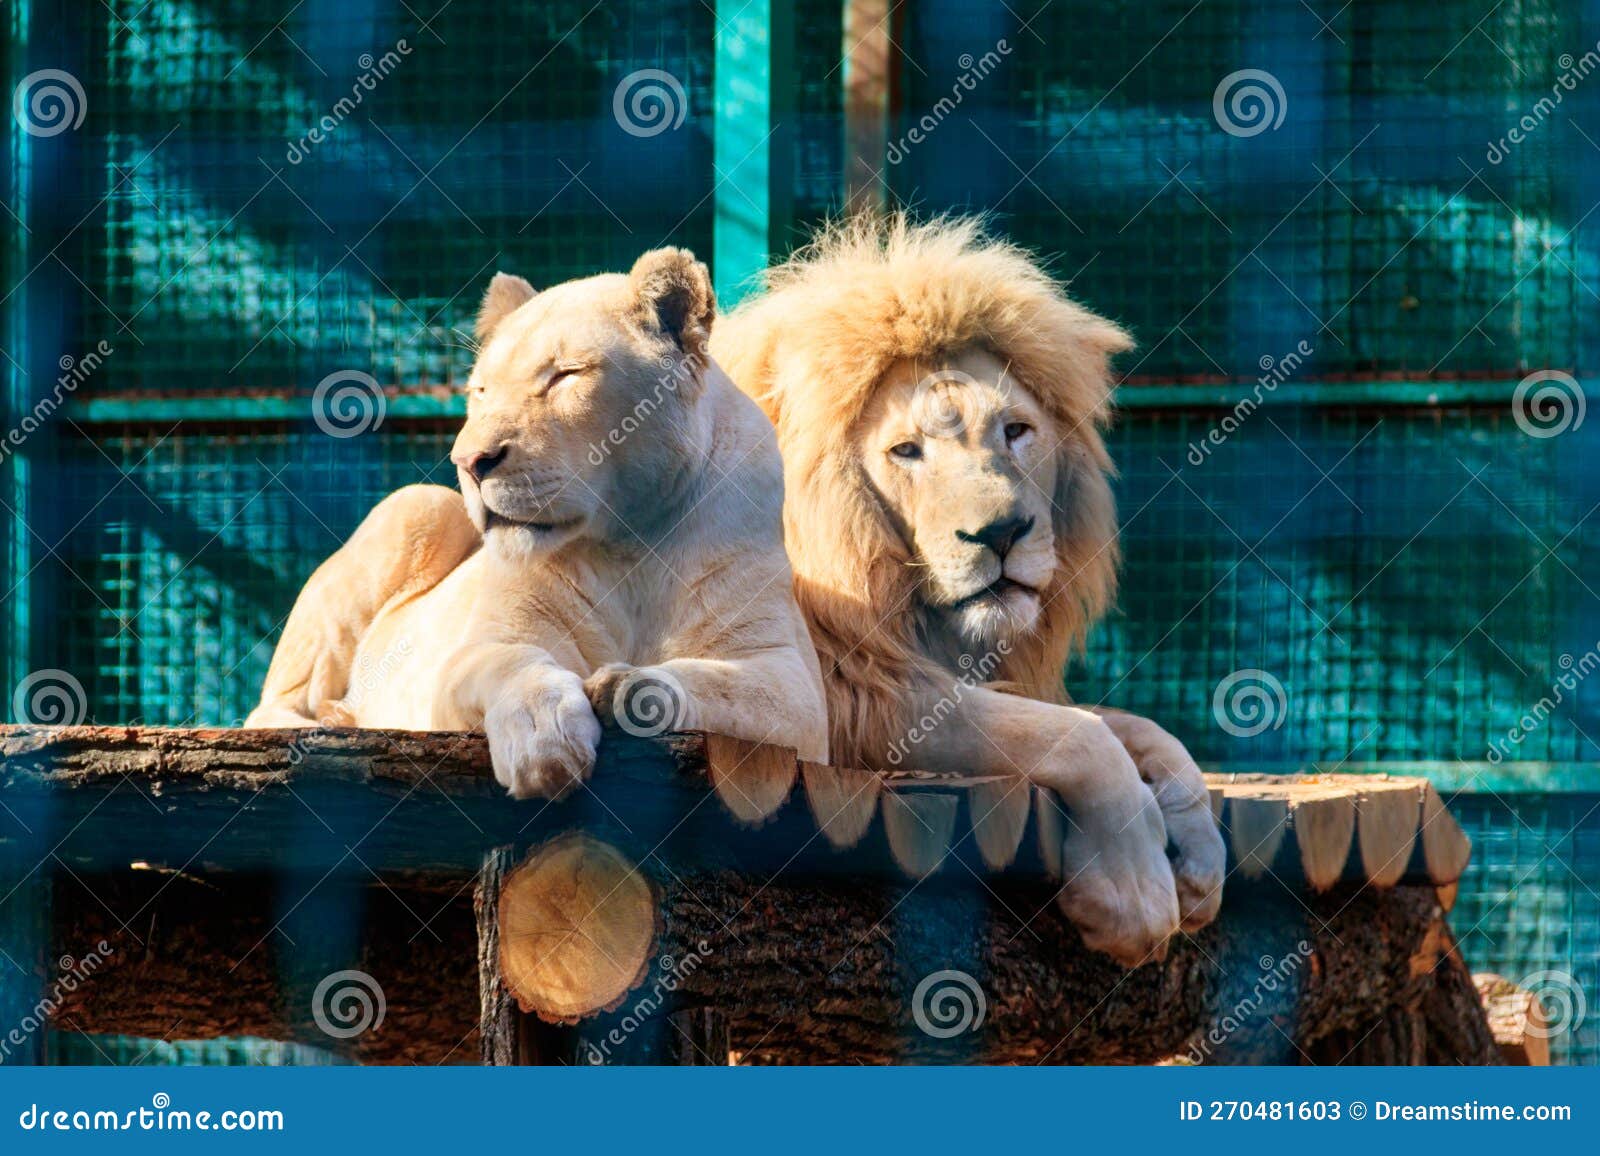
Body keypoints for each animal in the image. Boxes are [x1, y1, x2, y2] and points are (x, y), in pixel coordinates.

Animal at [246, 249, 829, 798]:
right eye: (480, 391)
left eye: (564, 376)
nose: (469, 461)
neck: (629, 544)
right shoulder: (475, 653)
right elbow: (518, 664)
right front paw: (544, 741)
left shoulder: (793, 682)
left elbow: (720, 684)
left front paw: (625, 689)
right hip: (418, 506)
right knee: (270, 708)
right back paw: (333, 720)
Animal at [711, 216, 1226, 966]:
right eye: (906, 451)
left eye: (1015, 431)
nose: (1002, 533)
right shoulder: (848, 702)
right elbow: (1078, 733)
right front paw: (1133, 892)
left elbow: (1136, 726)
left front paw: (1201, 857)